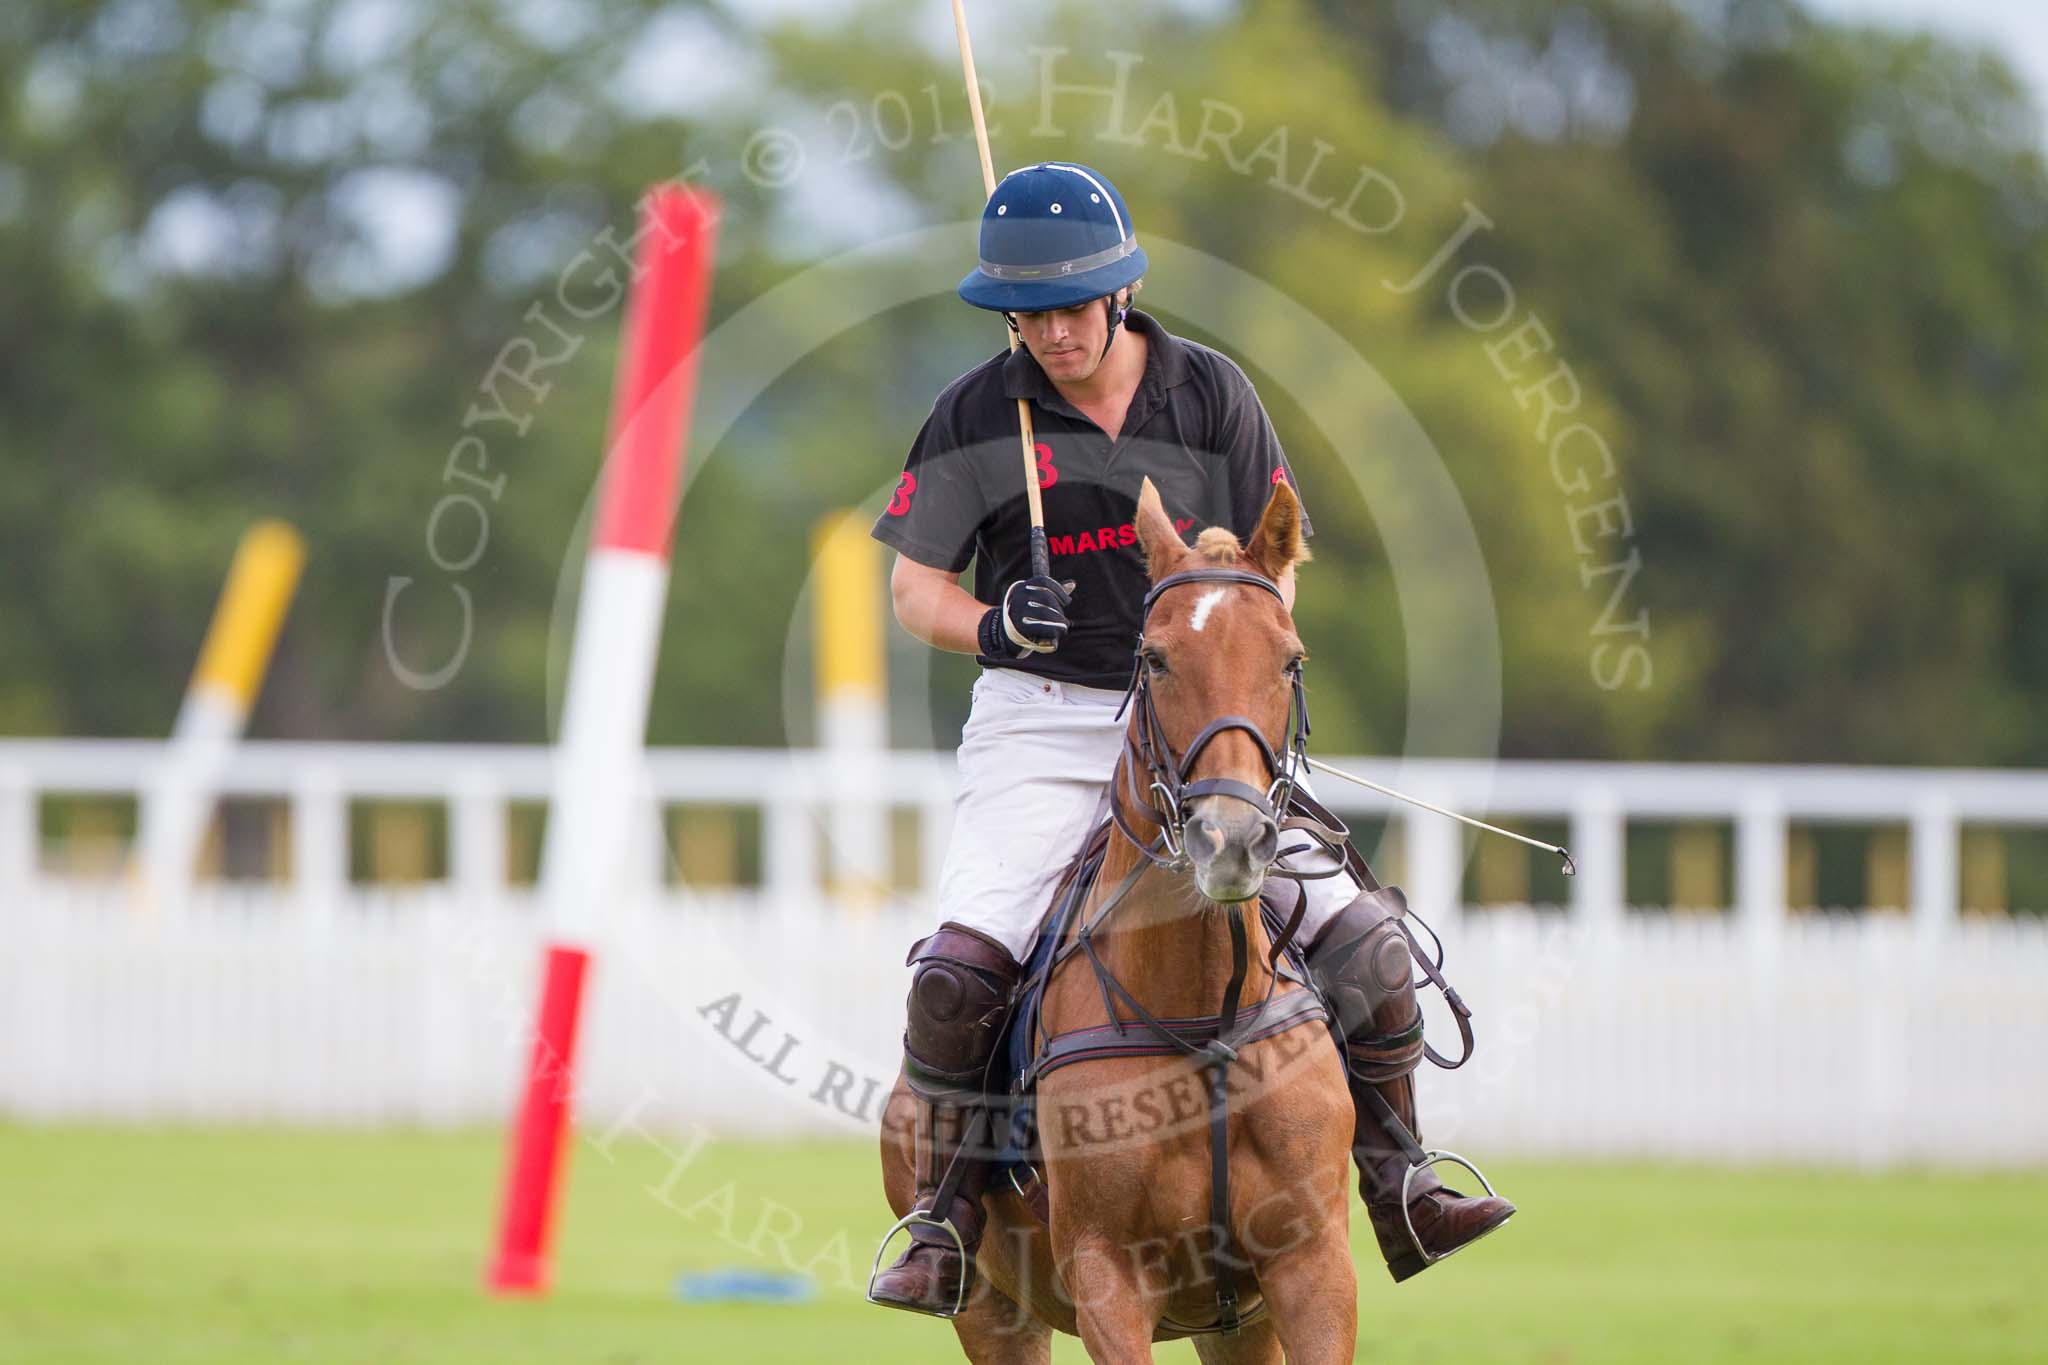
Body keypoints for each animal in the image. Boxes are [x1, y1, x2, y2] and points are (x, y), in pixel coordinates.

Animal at [880, 474, 1359, 1358]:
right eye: (1155, 658)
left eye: (1291, 659)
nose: (1229, 839)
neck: (1205, 1007)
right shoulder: (1106, 1271)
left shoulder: (1312, 1266)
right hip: (992, 1309)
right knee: (952, 982)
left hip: (1237, 1322)